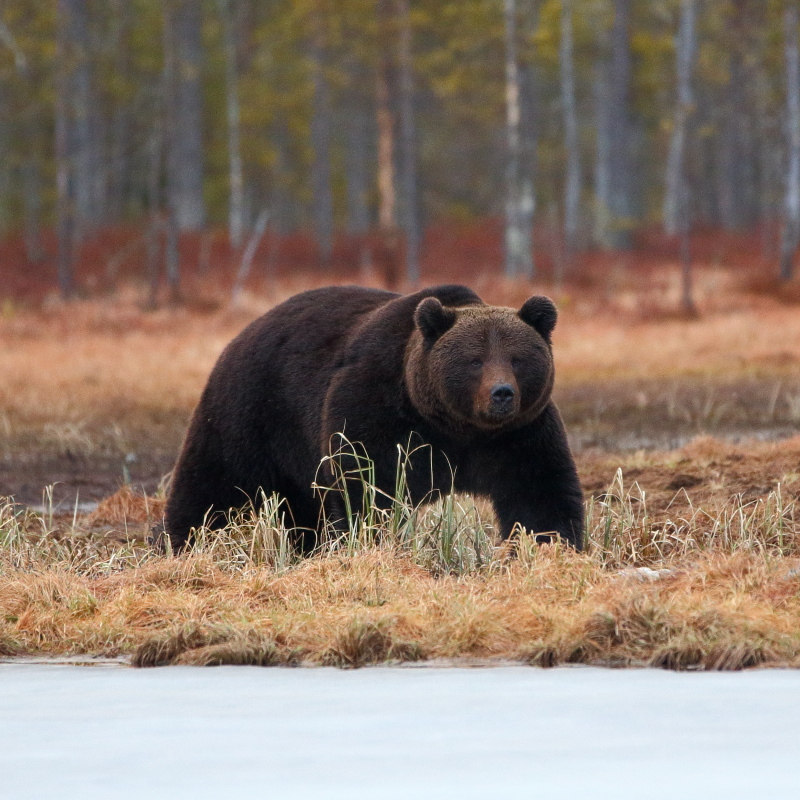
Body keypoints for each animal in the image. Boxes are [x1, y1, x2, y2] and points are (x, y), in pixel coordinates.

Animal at [162, 284, 584, 552]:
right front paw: (365, 540)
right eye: (474, 360)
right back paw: (181, 544)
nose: (502, 394)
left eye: (518, 359)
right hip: (251, 410)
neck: (454, 426)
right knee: (213, 487)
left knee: (301, 508)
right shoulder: (378, 411)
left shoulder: (518, 436)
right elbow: (364, 485)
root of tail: (242, 333)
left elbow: (539, 494)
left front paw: (553, 548)